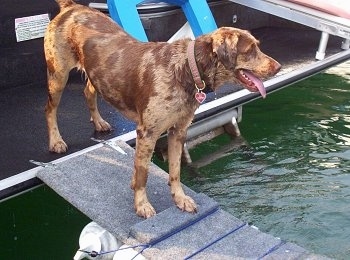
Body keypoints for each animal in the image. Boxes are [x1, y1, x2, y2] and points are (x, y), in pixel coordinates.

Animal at [44, 0, 282, 218]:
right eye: (250, 50)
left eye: (257, 46)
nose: (278, 66)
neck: (186, 69)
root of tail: (71, 7)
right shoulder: (147, 133)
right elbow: (143, 175)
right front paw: (142, 205)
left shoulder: (179, 131)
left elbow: (175, 171)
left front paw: (180, 199)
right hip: (58, 74)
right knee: (50, 109)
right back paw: (56, 141)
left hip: (97, 74)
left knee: (88, 91)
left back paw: (100, 122)